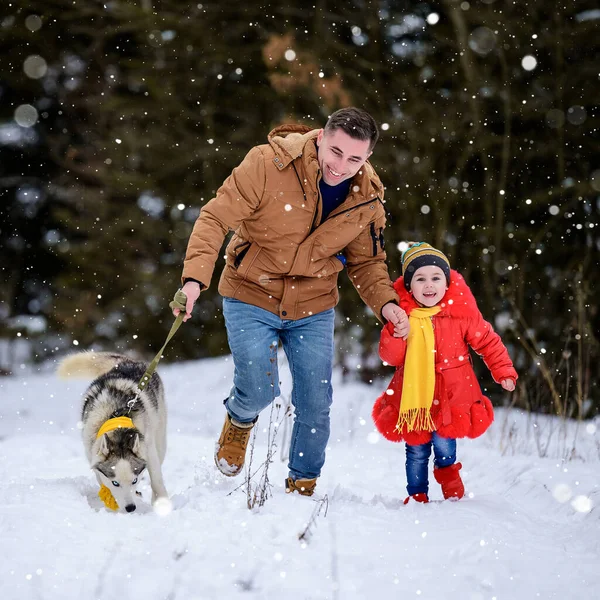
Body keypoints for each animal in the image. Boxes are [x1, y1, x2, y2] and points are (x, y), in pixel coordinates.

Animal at [58, 352, 169, 510]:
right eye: (115, 483)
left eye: (134, 481)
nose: (130, 508)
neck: (115, 420)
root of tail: (127, 361)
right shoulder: (92, 454)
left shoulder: (148, 450)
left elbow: (156, 479)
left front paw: (162, 504)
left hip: (160, 438)